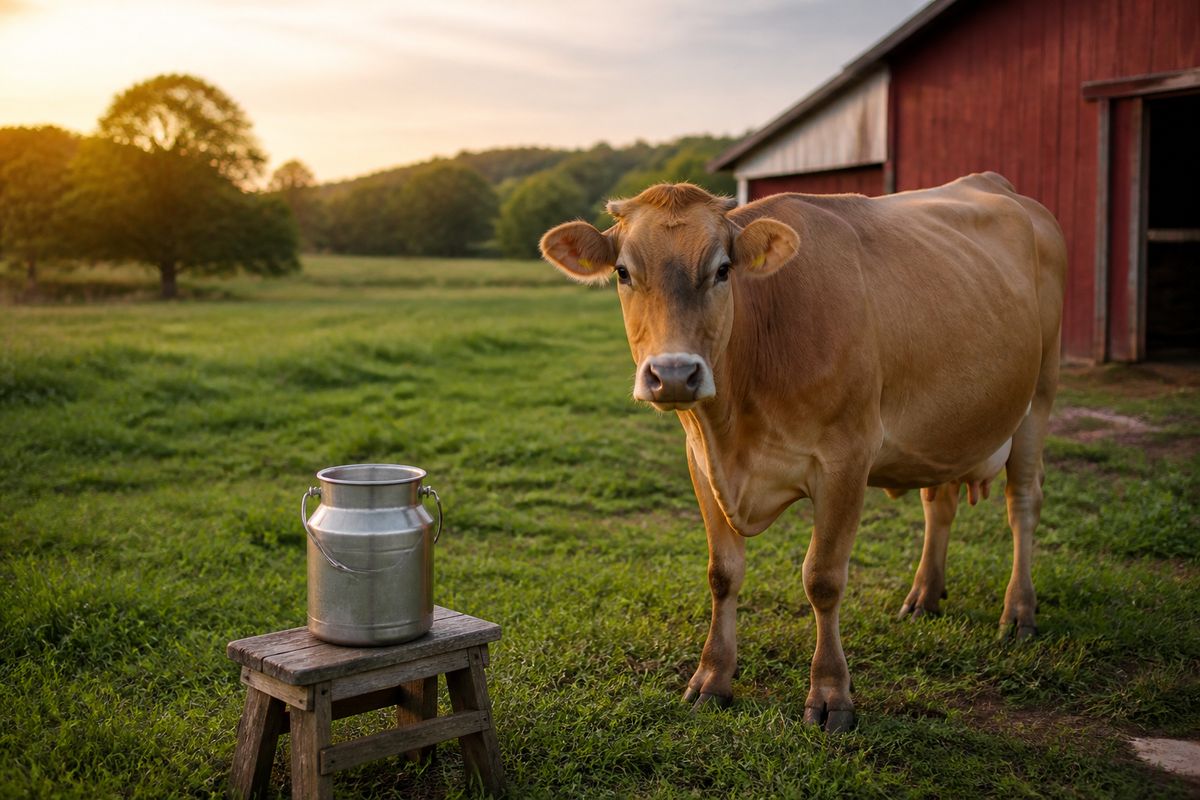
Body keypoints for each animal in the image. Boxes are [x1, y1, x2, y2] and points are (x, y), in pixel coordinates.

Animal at [539, 173, 1066, 732]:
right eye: (623, 271)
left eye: (722, 269)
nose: (675, 374)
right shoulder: (701, 461)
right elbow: (722, 574)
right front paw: (712, 678)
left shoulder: (846, 458)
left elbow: (823, 579)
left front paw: (831, 694)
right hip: (947, 426)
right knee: (938, 503)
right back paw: (925, 595)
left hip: (1039, 394)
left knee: (1023, 503)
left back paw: (1019, 612)